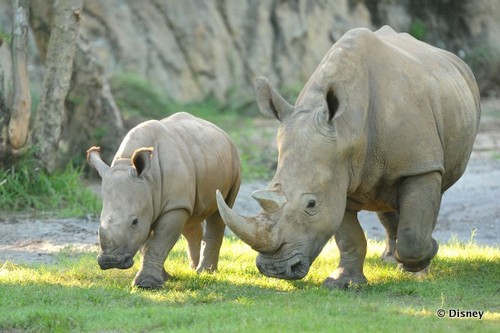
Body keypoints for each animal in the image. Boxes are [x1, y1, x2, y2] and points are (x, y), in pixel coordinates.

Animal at [87, 112, 240, 288]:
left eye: (134, 222)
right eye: (99, 222)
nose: (111, 261)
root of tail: (221, 132)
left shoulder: (172, 206)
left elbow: (158, 242)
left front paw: (147, 284)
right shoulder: (149, 200)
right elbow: (147, 243)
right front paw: (164, 278)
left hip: (234, 159)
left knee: (222, 209)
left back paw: (205, 272)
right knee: (191, 216)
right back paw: (194, 268)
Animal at [216, 26, 480, 286]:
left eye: (311, 205)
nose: (275, 269)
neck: (348, 131)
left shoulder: (420, 165)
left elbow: (414, 233)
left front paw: (423, 262)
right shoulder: (337, 175)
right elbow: (349, 237)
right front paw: (343, 283)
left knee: (428, 200)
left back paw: (411, 264)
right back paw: (389, 259)